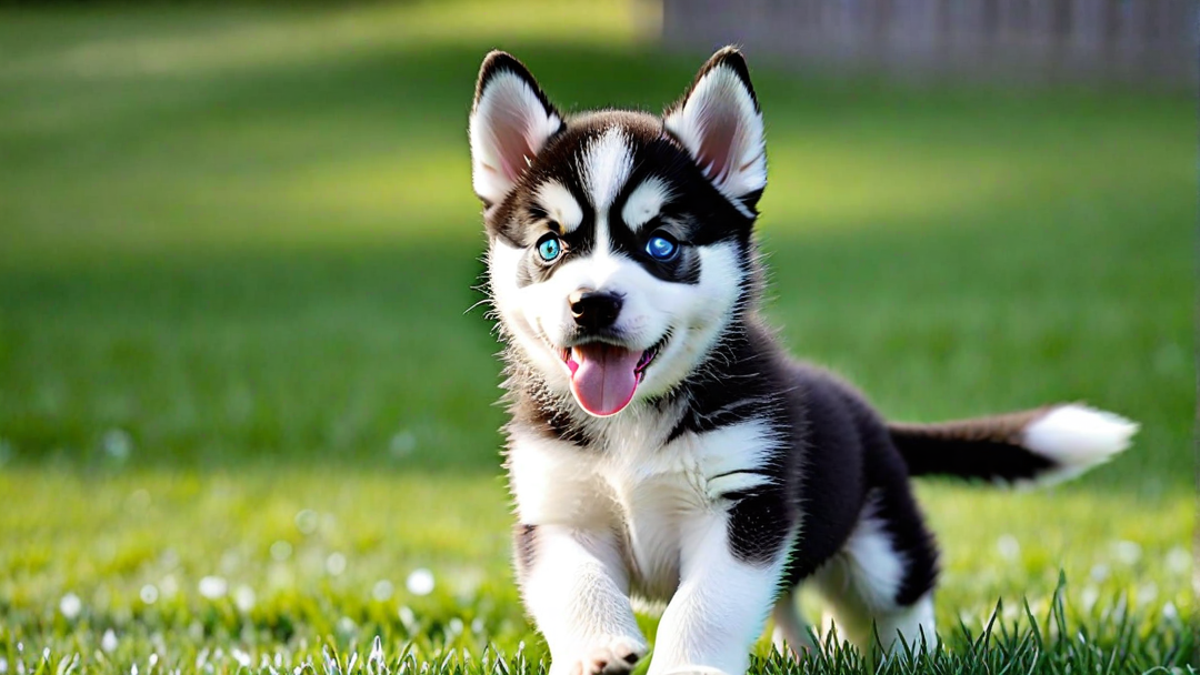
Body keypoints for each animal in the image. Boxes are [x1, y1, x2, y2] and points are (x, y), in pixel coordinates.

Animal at [465, 47, 1132, 672]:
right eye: (550, 247)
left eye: (661, 245)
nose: (592, 304)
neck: (634, 424)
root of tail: (867, 413)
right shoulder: (557, 513)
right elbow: (577, 587)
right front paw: (596, 651)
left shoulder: (746, 507)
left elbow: (704, 606)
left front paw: (691, 667)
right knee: (788, 598)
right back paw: (804, 652)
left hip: (878, 544)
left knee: (900, 594)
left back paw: (908, 655)